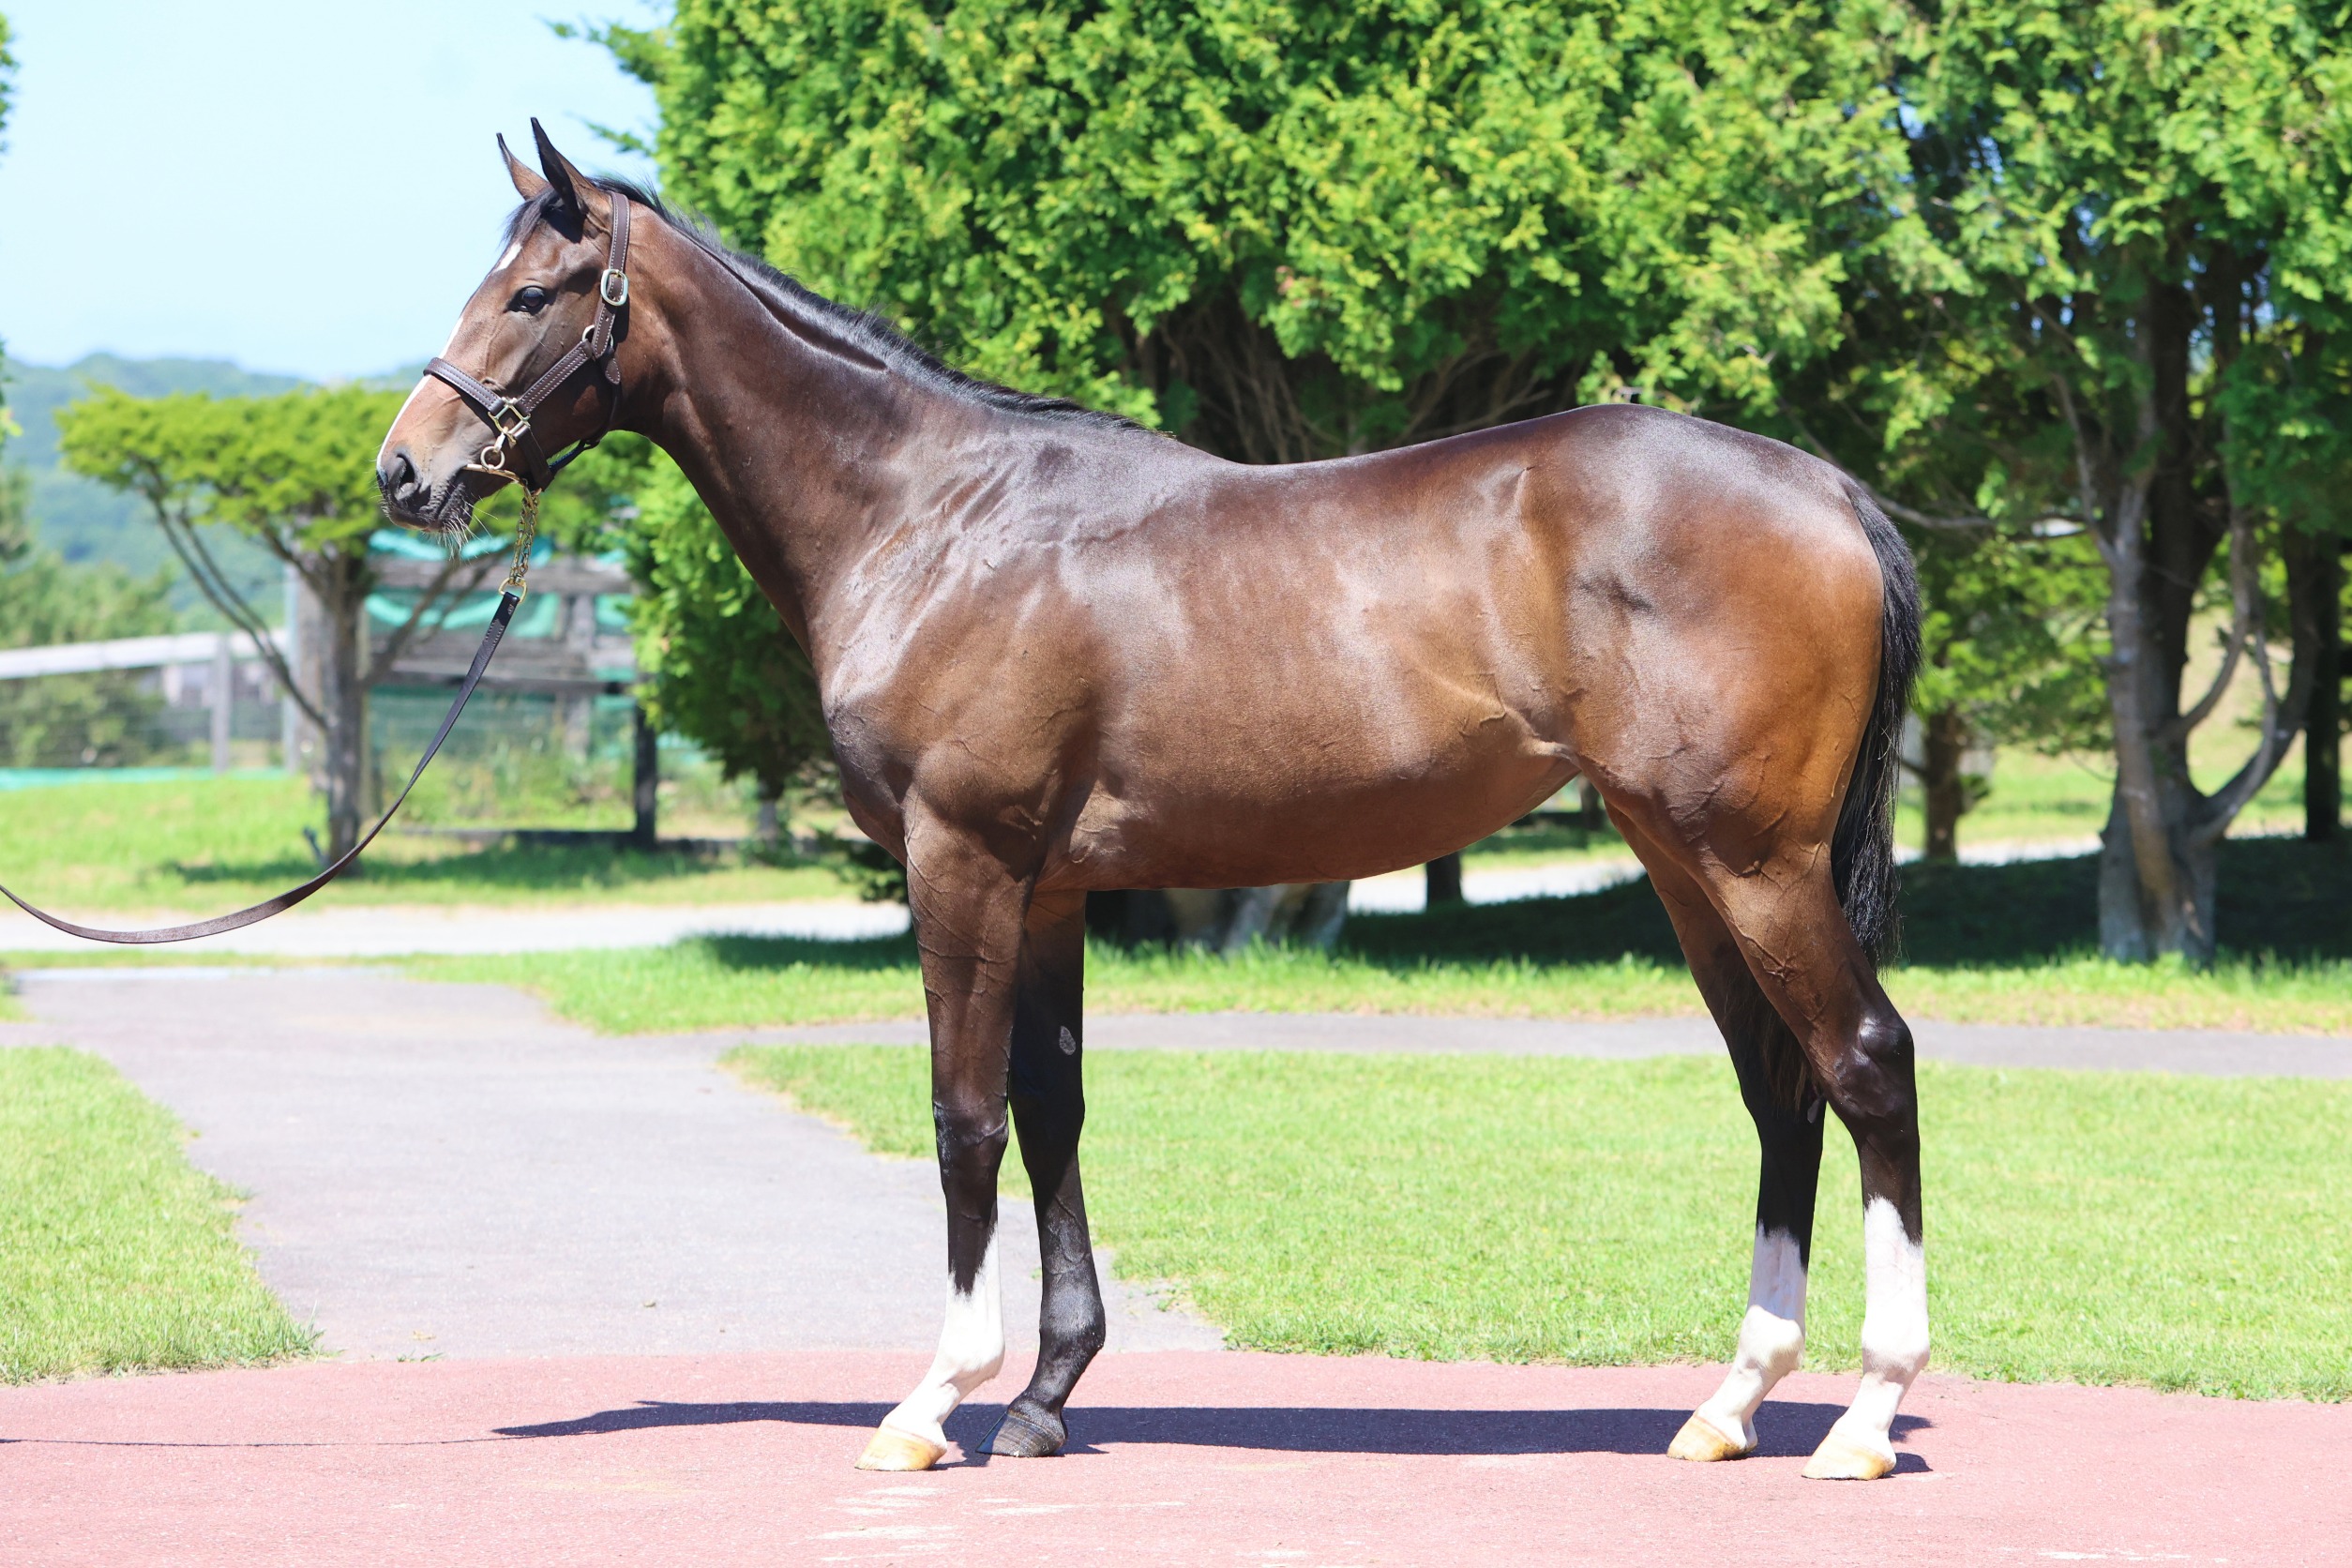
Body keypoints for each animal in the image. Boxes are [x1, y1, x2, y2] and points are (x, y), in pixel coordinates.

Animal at [378, 127, 1928, 1483]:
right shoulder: (1051, 886)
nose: (407, 469)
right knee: (1781, 1095)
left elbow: (965, 1118)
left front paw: (934, 1402)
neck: (936, 518)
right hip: (1685, 862)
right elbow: (1052, 1112)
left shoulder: (962, 864)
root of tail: (1828, 490)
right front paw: (1046, 1396)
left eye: (531, 294)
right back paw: (1732, 1404)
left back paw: (1863, 1418)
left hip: (1755, 862)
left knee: (1866, 1064)